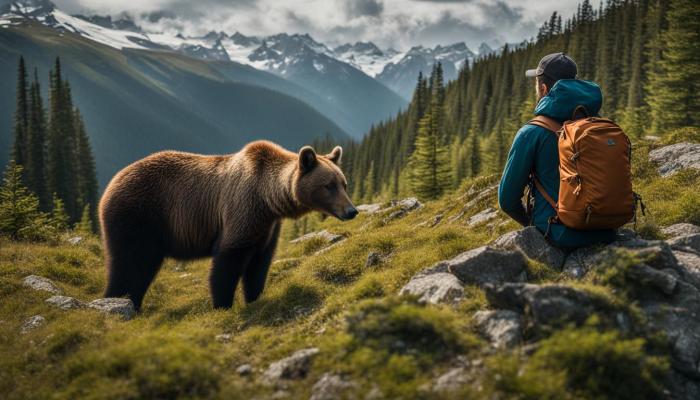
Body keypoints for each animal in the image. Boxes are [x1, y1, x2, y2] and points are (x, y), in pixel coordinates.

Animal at [97, 140, 356, 310]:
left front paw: (254, 297)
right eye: (328, 185)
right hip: (138, 216)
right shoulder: (242, 210)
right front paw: (223, 304)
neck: (267, 199)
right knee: (128, 264)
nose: (351, 210)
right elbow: (228, 260)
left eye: (344, 183)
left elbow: (259, 264)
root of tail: (112, 183)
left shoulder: (267, 227)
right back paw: (118, 301)